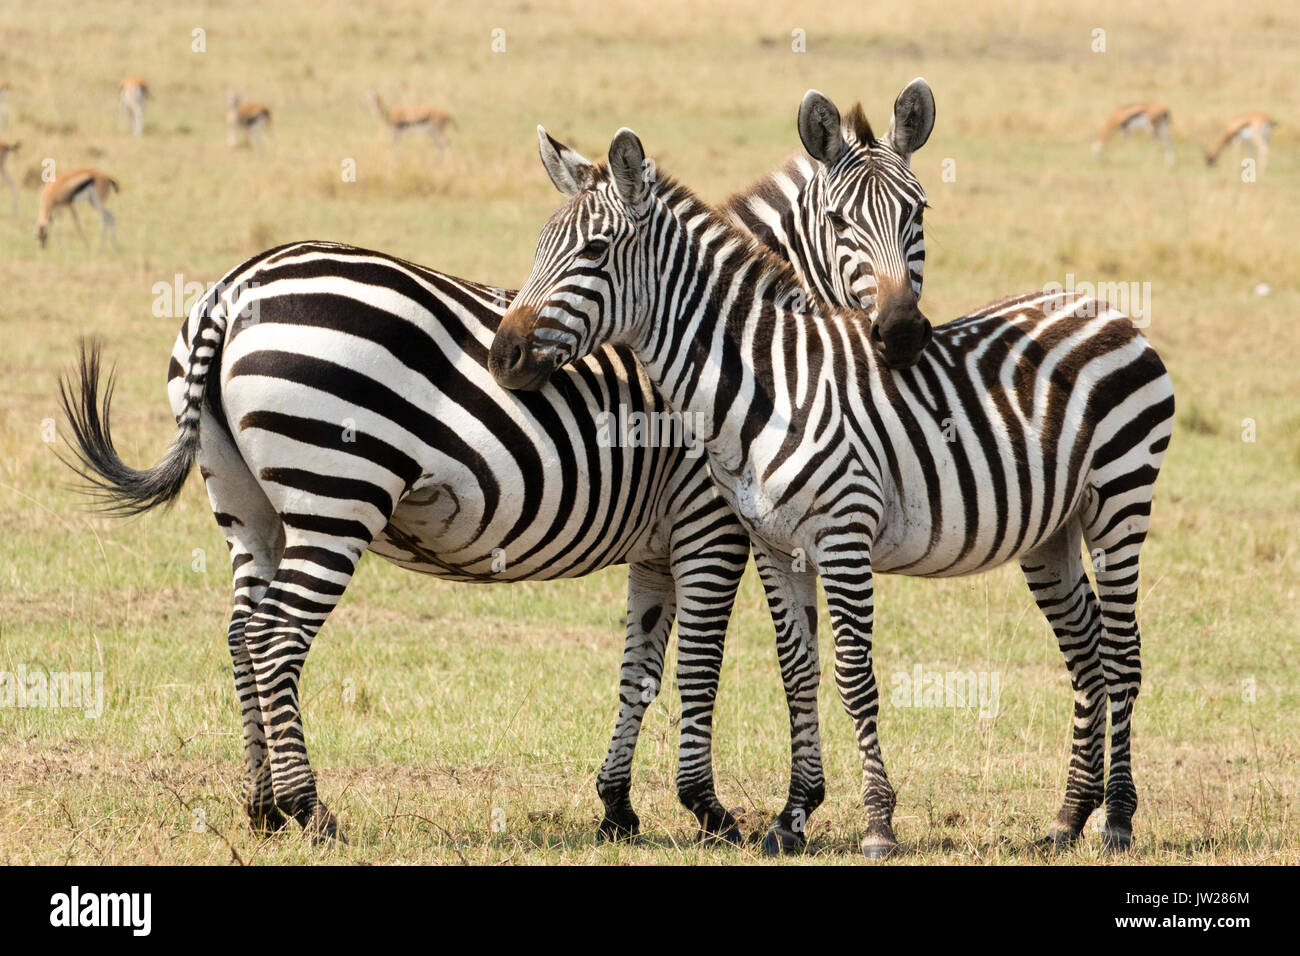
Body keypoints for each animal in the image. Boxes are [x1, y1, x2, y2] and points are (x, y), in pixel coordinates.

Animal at [58, 82, 935, 853]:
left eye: (918, 214)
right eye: (840, 220)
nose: (898, 334)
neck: (733, 343)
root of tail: (232, 291)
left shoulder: (656, 548)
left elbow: (640, 666)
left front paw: (617, 807)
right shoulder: (709, 525)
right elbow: (698, 666)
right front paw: (709, 812)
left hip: (248, 507)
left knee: (243, 632)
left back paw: (261, 804)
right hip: (337, 495)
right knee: (276, 639)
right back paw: (311, 810)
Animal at [488, 123, 1180, 858]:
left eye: (593, 250)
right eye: (540, 245)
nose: (501, 356)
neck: (766, 384)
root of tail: (1101, 306)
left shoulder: (843, 536)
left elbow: (852, 675)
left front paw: (877, 824)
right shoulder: (773, 544)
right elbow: (797, 670)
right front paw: (791, 818)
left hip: (1119, 500)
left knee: (1123, 654)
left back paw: (1117, 820)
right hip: (1052, 531)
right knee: (1087, 654)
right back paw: (1068, 817)